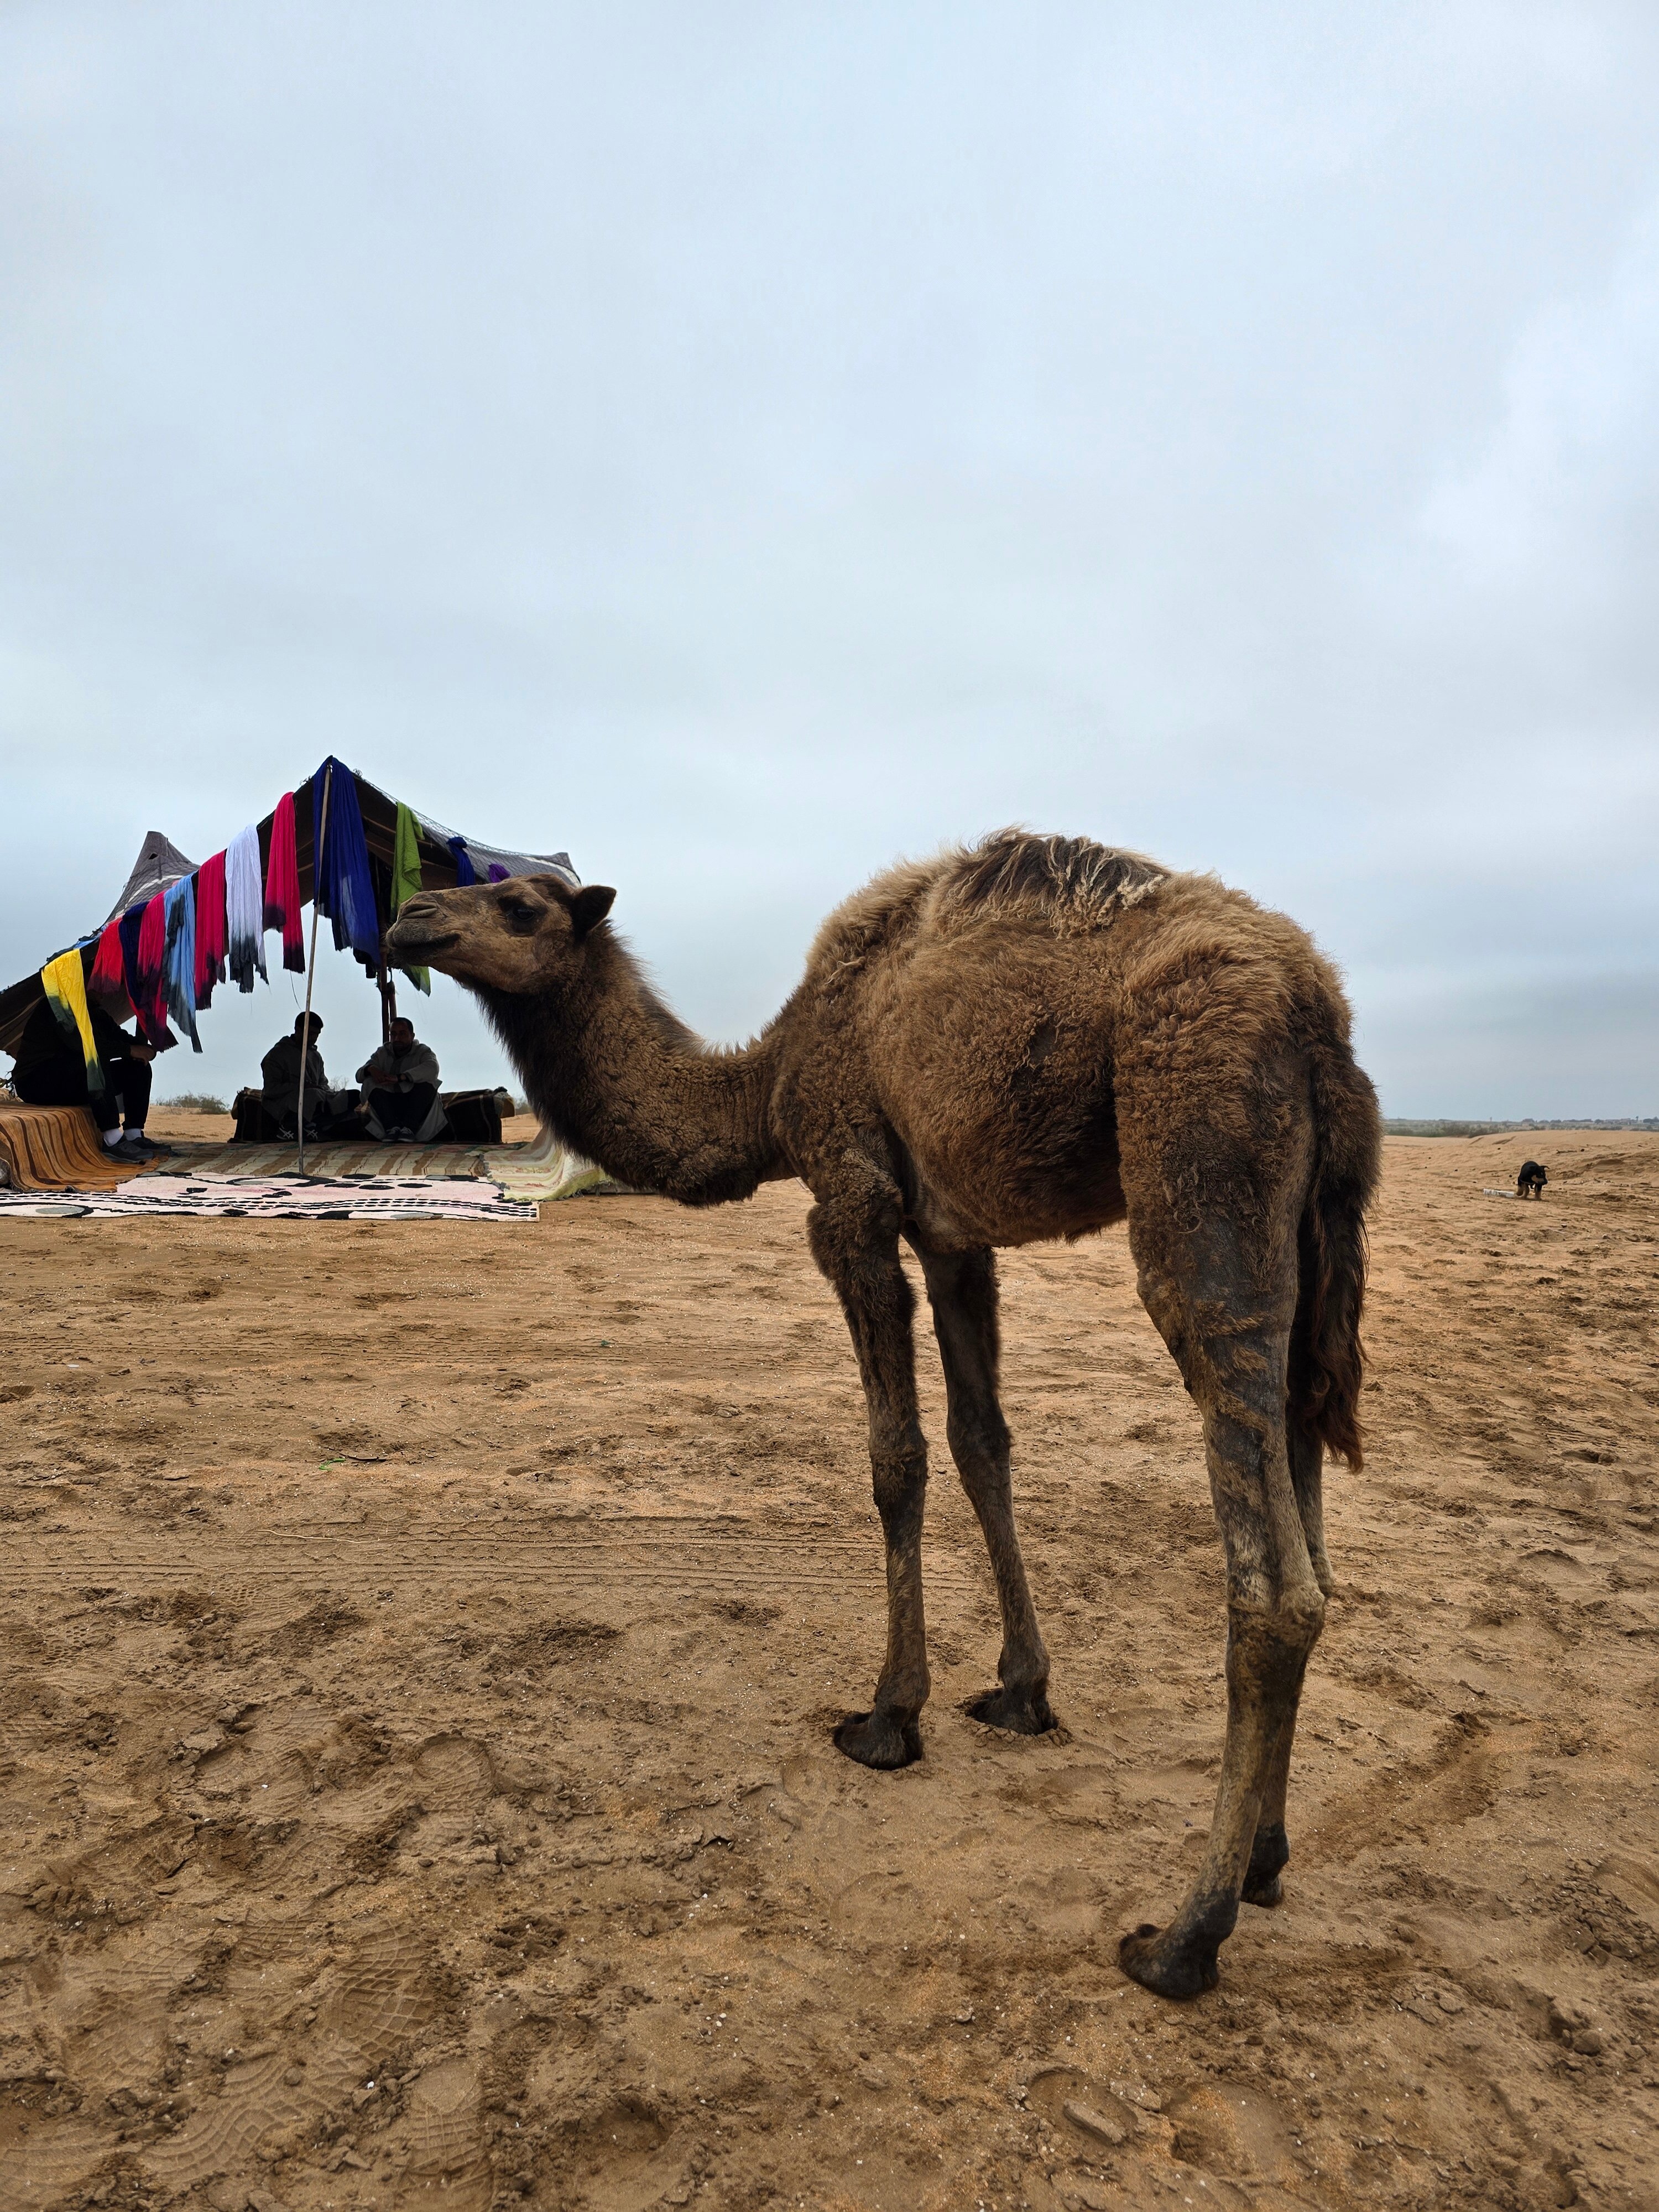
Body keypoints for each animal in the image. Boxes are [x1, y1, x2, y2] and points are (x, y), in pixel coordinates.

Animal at [386, 830, 1381, 1999]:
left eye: (525, 908)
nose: (407, 917)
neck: (770, 1081)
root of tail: (1318, 1012)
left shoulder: (851, 1199)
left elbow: (894, 1458)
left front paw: (889, 1715)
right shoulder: (954, 1236)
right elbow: (981, 1443)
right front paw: (1019, 1692)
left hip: (1202, 1145)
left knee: (1272, 1580)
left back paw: (1185, 1937)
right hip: (1311, 1226)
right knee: (1312, 1506)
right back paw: (1267, 1859)